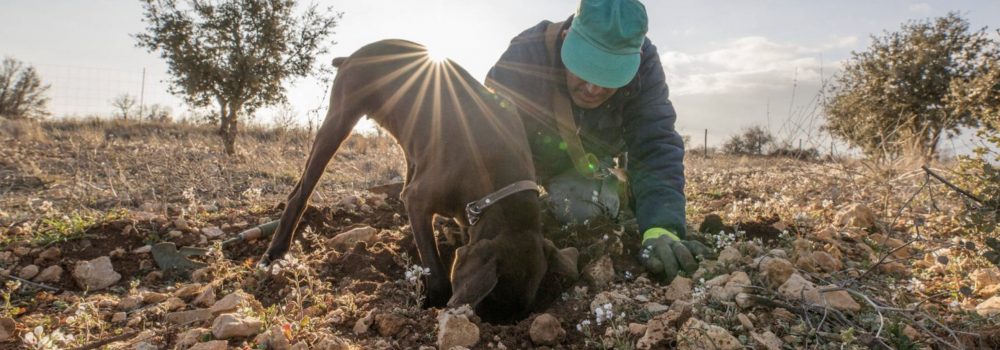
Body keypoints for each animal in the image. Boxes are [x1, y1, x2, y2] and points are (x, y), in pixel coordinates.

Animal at [258, 39, 580, 318]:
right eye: (493, 302)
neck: (498, 187)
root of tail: (353, 54)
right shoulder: (419, 200)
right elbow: (435, 269)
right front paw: (433, 301)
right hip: (339, 119)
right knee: (299, 193)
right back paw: (275, 252)